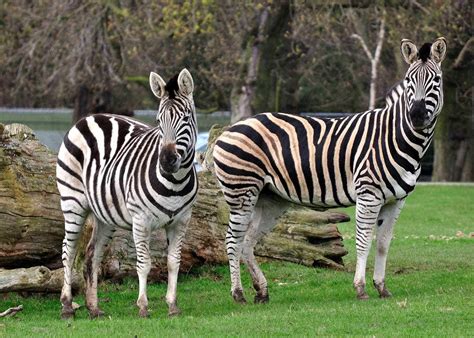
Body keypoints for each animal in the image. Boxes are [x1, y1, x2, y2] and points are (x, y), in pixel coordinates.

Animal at [57, 68, 198, 316]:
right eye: (158, 121)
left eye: (185, 118)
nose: (166, 160)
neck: (176, 183)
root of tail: (89, 117)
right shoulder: (141, 220)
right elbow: (144, 263)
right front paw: (143, 306)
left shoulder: (182, 221)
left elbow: (174, 261)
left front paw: (172, 305)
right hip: (72, 202)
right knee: (69, 250)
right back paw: (67, 306)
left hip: (104, 214)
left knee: (92, 255)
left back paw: (94, 308)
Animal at [215, 37, 448, 304]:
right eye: (409, 80)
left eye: (436, 80)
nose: (417, 116)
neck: (394, 136)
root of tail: (231, 128)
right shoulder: (369, 195)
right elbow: (363, 242)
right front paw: (360, 288)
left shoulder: (396, 200)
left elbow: (383, 243)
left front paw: (382, 287)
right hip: (241, 192)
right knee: (232, 241)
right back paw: (238, 293)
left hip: (270, 199)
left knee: (247, 242)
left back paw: (261, 291)